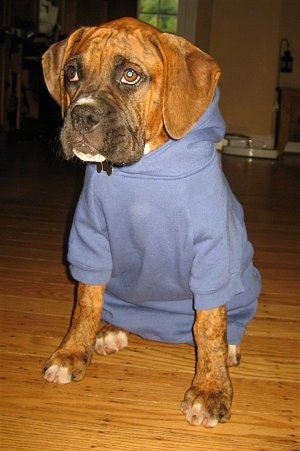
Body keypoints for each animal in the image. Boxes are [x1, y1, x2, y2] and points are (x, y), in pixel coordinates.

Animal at [41, 16, 260, 428]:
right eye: (72, 74)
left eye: (130, 75)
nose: (80, 114)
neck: (143, 169)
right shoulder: (91, 242)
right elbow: (85, 304)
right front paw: (72, 353)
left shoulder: (212, 256)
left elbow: (209, 326)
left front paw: (210, 389)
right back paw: (110, 329)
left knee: (230, 319)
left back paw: (230, 346)